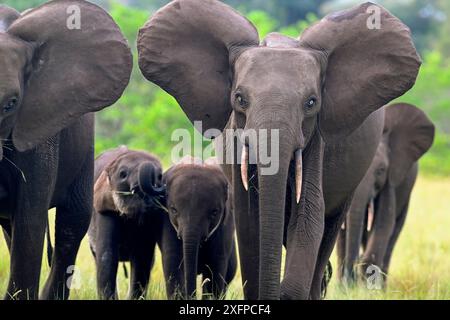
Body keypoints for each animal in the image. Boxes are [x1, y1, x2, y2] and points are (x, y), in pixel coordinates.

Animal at [88, 146, 165, 298]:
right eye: (123, 174)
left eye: (160, 176)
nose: (159, 185)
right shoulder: (105, 209)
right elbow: (107, 256)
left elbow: (142, 257)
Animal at [162, 158, 239, 300]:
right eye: (173, 210)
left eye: (214, 212)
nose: (191, 296)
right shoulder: (166, 221)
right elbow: (173, 262)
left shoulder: (225, 224)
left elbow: (215, 268)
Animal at [338, 104, 436, 286]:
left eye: (381, 170)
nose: (351, 282)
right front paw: (347, 287)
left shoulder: (391, 179)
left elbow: (384, 223)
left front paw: (366, 286)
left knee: (393, 234)